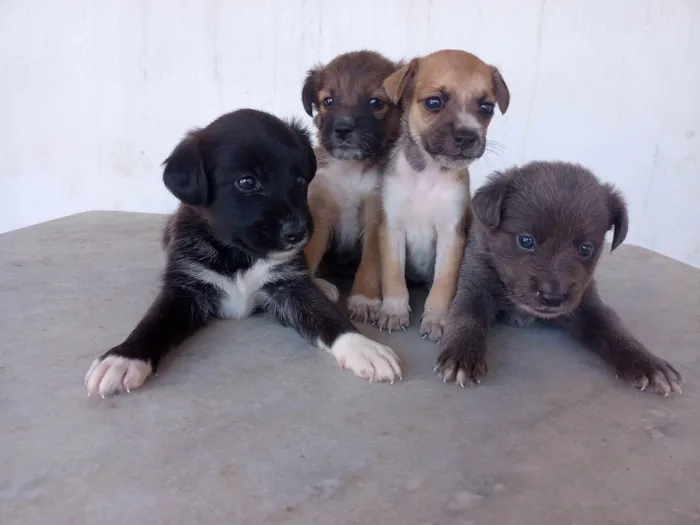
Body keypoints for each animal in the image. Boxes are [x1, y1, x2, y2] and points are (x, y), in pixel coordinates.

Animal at [85, 110, 402, 398]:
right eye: (247, 182)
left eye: (300, 180)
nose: (298, 232)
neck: (239, 254)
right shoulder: (185, 288)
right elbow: (154, 322)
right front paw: (123, 358)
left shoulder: (289, 285)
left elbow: (326, 316)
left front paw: (363, 347)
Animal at [302, 50, 404, 320]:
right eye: (327, 101)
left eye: (375, 103)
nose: (342, 129)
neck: (350, 168)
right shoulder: (320, 211)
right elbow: (311, 250)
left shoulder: (376, 216)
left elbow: (370, 261)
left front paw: (365, 299)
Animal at [378, 49, 508, 340]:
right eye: (434, 102)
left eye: (487, 107)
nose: (467, 137)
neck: (427, 175)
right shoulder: (393, 230)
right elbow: (392, 275)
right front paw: (394, 310)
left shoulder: (451, 235)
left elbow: (443, 283)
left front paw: (437, 318)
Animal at [438, 162, 684, 396]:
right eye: (525, 240)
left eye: (585, 249)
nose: (553, 297)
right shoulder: (474, 286)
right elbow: (467, 319)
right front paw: (462, 355)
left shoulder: (588, 303)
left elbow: (613, 328)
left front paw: (650, 365)